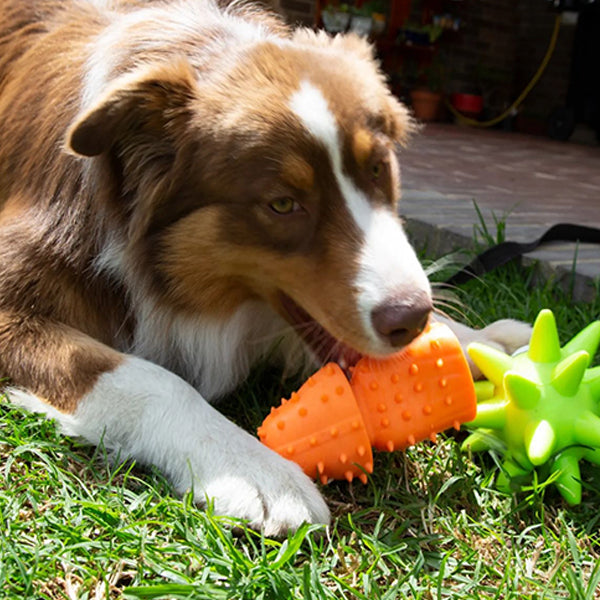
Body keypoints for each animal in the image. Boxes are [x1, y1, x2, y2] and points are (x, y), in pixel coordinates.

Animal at [0, 0, 528, 536]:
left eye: (379, 169)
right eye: (282, 204)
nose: (412, 316)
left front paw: (485, 343)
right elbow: (151, 379)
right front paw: (255, 468)